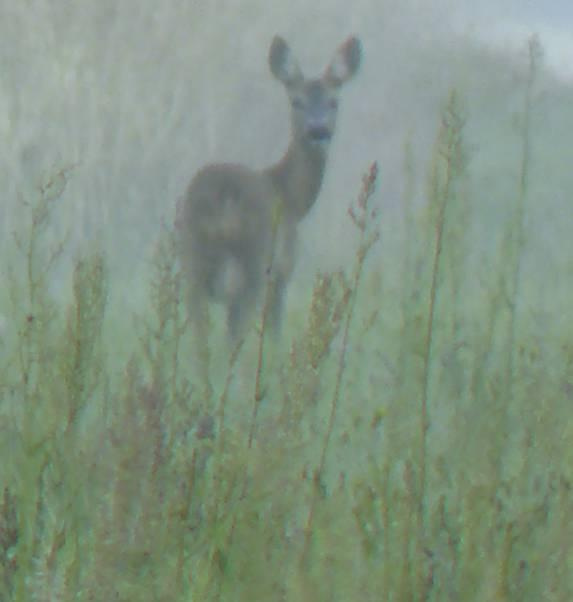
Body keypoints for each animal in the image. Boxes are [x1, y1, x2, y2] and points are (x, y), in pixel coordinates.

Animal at [177, 35, 360, 342]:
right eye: (296, 101)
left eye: (333, 101)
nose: (318, 131)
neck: (292, 197)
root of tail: (222, 196)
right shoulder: (282, 272)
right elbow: (275, 334)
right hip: (255, 259)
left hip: (193, 259)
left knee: (200, 338)